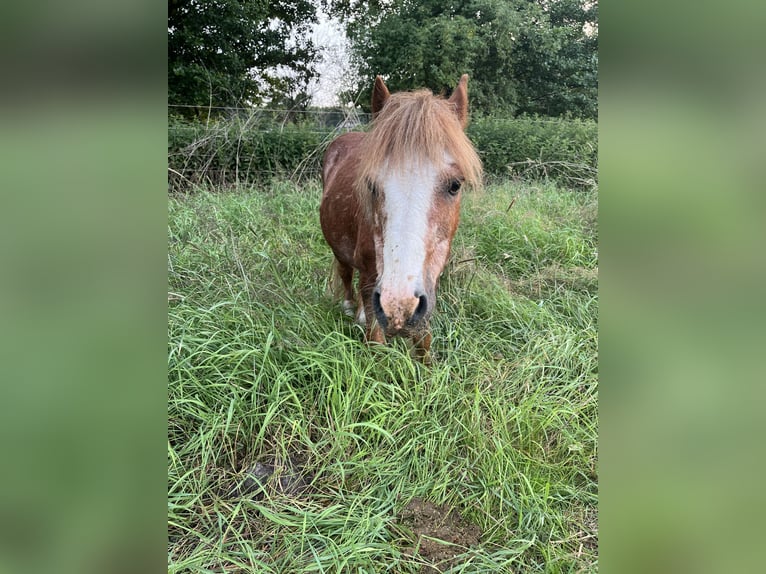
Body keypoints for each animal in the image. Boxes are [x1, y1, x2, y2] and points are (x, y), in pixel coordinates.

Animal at [319, 75, 482, 362]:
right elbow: (376, 347)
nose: (398, 307)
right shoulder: (372, 284)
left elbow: (423, 343)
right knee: (345, 272)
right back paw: (350, 307)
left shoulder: (427, 288)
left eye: (455, 185)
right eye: (371, 185)